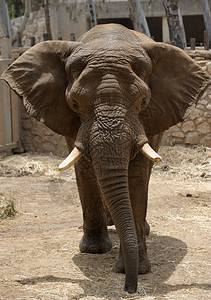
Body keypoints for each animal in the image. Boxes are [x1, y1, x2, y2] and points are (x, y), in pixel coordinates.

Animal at [1, 24, 209, 294]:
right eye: (74, 103)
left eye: (144, 101)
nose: (129, 288)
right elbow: (85, 169)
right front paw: (93, 251)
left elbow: (137, 175)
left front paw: (136, 268)